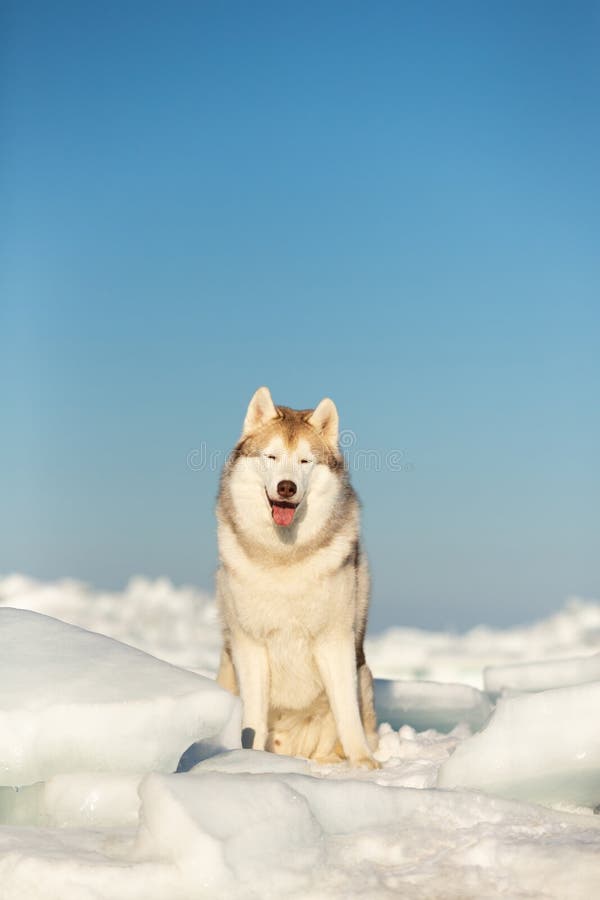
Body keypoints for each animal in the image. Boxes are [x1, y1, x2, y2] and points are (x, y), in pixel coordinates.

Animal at [213, 386, 378, 768]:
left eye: (305, 461)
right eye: (272, 456)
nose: (286, 487)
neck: (284, 556)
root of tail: (291, 748)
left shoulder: (335, 640)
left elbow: (346, 712)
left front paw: (363, 763)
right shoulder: (249, 643)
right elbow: (253, 719)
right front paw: (249, 761)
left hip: (362, 675)